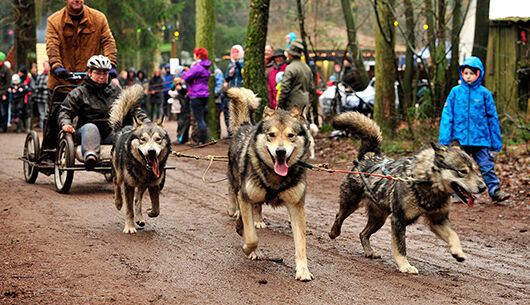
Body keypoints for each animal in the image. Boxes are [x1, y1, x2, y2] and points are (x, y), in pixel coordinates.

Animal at [109, 83, 170, 233]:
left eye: (158, 139)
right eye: (143, 139)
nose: (152, 152)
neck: (145, 169)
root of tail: (123, 128)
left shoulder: (154, 185)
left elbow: (156, 209)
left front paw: (149, 212)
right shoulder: (129, 185)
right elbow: (129, 209)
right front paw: (130, 227)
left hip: (142, 185)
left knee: (138, 199)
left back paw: (140, 218)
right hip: (119, 174)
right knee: (116, 185)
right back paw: (118, 202)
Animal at [224, 86, 314, 280]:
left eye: (291, 135)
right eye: (271, 135)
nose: (281, 152)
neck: (275, 178)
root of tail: (245, 126)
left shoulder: (296, 206)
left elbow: (301, 243)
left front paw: (303, 270)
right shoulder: (246, 196)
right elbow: (252, 237)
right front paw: (249, 249)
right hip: (238, 184)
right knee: (235, 197)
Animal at [328, 111, 484, 274]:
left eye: (475, 169)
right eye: (463, 171)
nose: (483, 187)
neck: (427, 184)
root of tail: (369, 156)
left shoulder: (438, 220)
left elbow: (454, 235)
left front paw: (458, 252)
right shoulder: (398, 220)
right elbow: (400, 247)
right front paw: (405, 265)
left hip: (379, 219)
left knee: (362, 233)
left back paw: (369, 251)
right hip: (350, 205)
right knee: (339, 216)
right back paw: (334, 232)